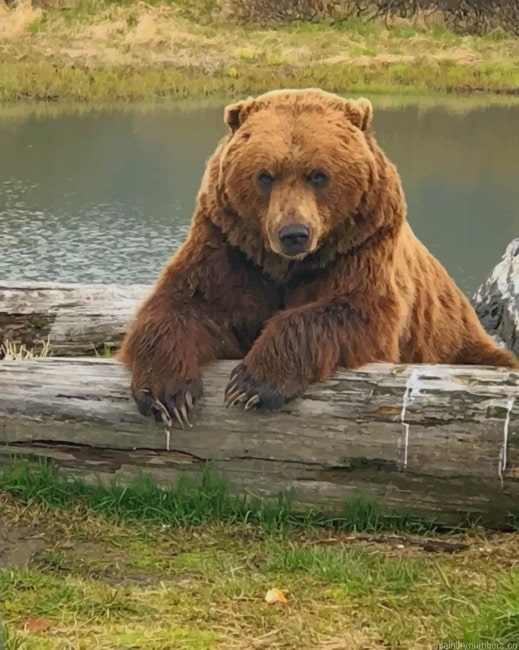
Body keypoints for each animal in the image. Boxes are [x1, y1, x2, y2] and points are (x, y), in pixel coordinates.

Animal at [117, 87, 519, 428]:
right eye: (265, 175)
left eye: (318, 175)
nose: (294, 233)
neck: (284, 265)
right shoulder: (229, 248)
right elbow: (181, 304)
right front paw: (167, 394)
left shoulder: (359, 248)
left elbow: (350, 311)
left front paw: (252, 385)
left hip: (458, 343)